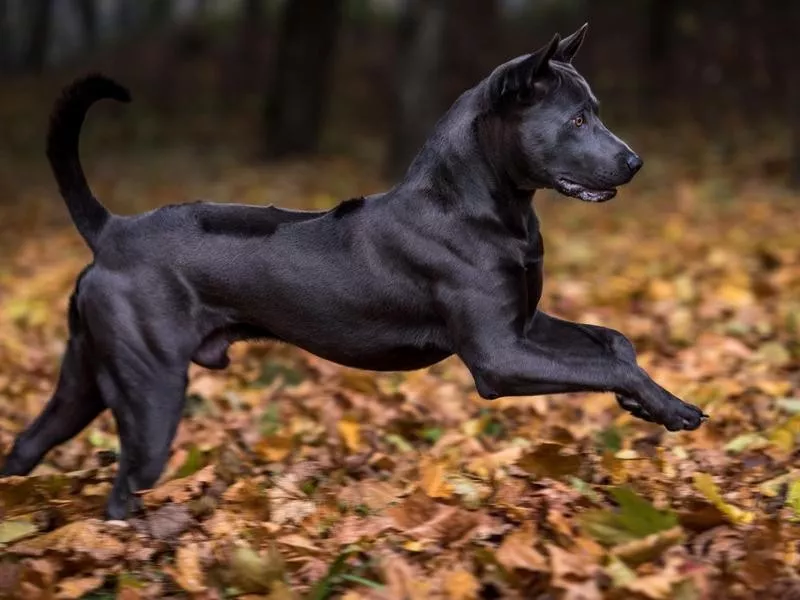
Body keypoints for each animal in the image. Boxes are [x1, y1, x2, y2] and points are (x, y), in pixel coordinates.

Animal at [1, 25, 708, 516]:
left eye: (596, 110)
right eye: (577, 119)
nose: (636, 162)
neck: (481, 202)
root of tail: (112, 230)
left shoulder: (523, 324)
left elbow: (613, 342)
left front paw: (644, 400)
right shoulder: (499, 356)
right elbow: (606, 363)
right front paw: (672, 408)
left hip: (87, 377)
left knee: (27, 445)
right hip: (151, 390)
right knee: (125, 487)